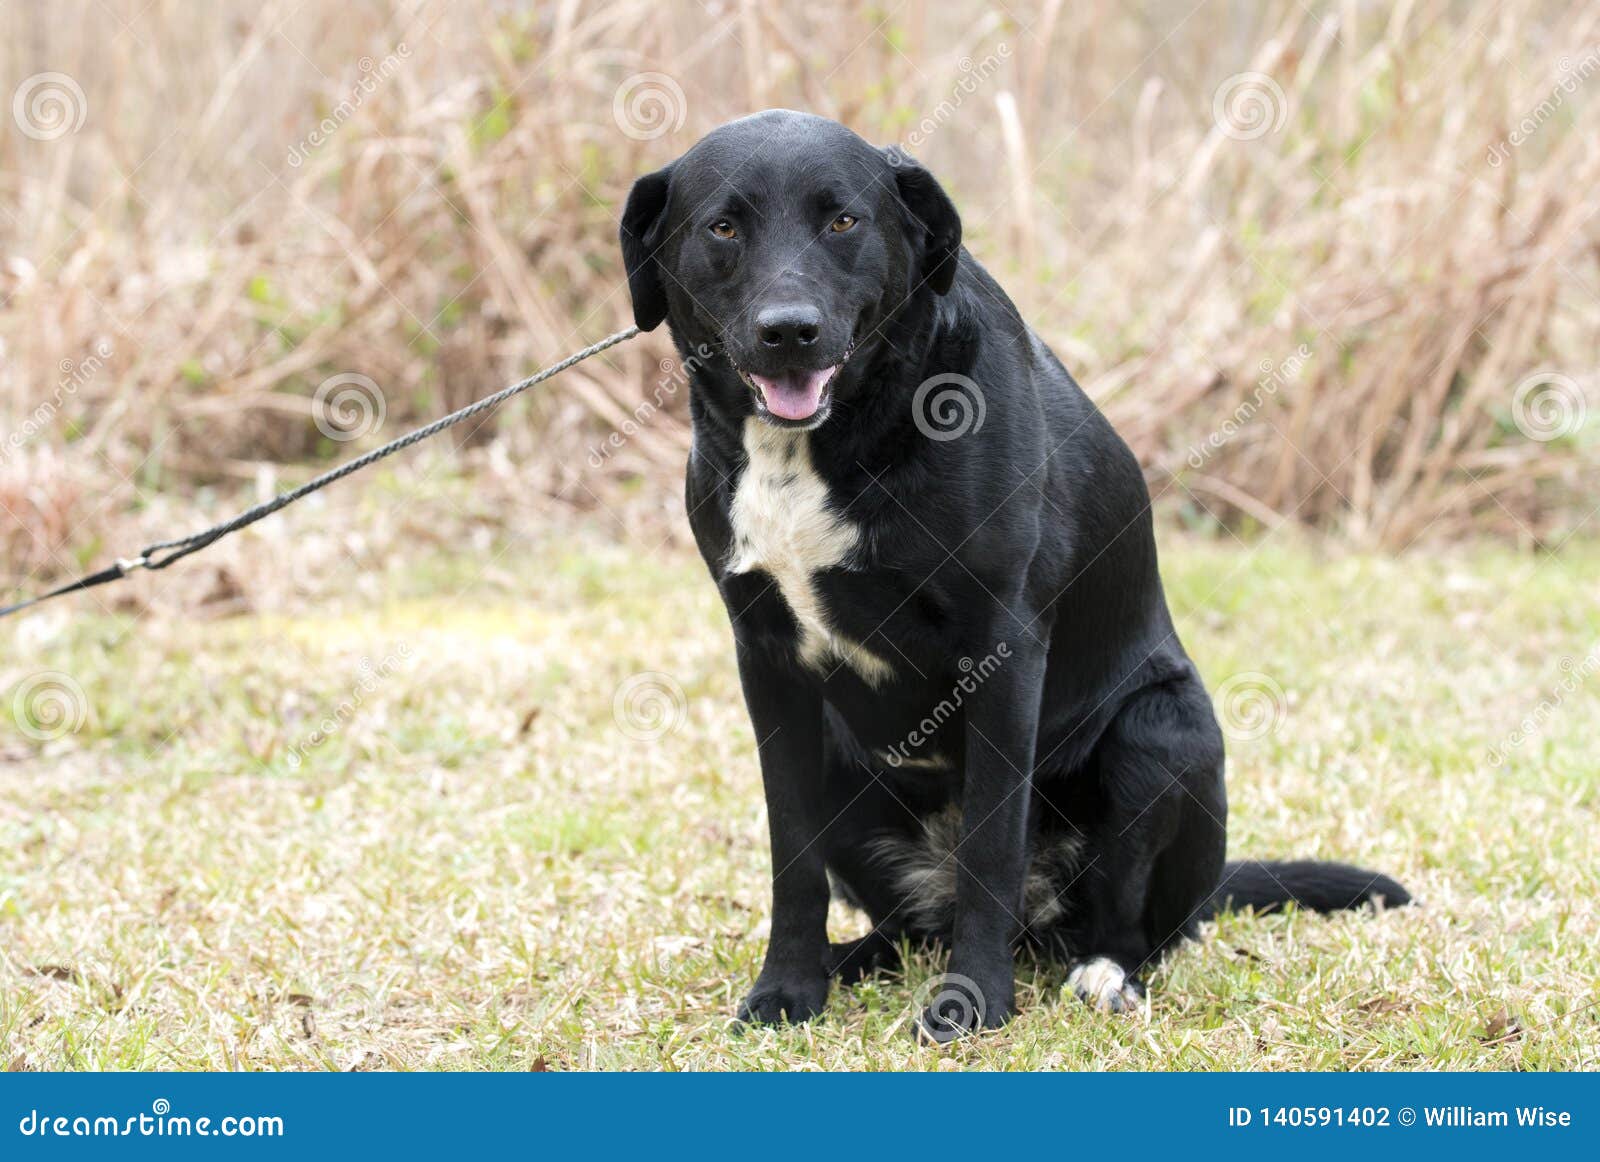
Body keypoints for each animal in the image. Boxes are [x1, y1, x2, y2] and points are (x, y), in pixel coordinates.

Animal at [617, 111, 1408, 1049]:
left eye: (843, 220)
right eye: (723, 228)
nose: (789, 330)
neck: (830, 440)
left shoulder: (1002, 649)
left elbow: (992, 845)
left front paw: (973, 1003)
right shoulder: (767, 661)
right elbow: (791, 855)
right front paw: (789, 988)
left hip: (1162, 732)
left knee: (1135, 929)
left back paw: (1104, 975)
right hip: (852, 766)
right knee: (908, 926)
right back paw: (855, 961)